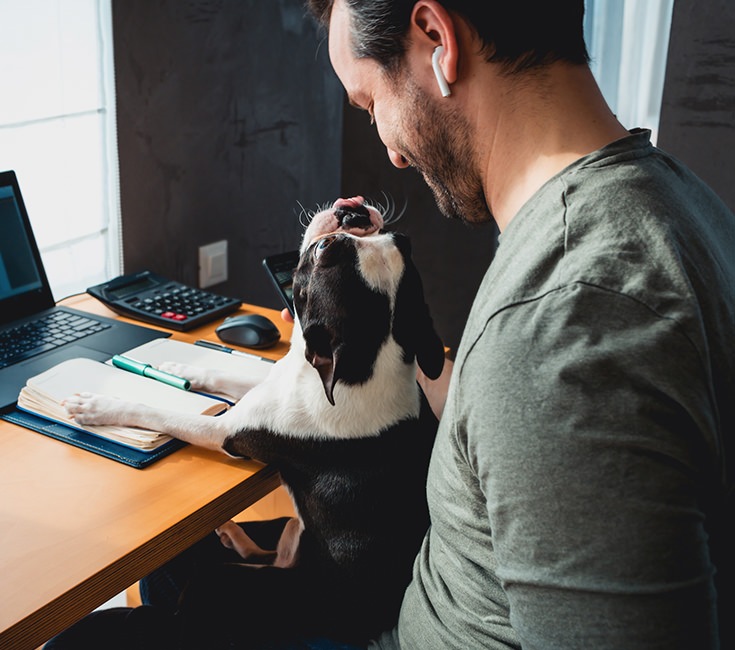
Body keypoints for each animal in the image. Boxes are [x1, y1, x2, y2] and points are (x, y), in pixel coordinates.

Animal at [64, 195, 442, 644]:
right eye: (399, 239)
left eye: (322, 251)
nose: (353, 211)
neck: (365, 364)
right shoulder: (275, 381)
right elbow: (228, 375)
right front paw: (179, 368)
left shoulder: (224, 431)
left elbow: (161, 413)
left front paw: (99, 405)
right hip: (291, 535)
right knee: (271, 549)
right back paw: (234, 534)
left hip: (224, 586)